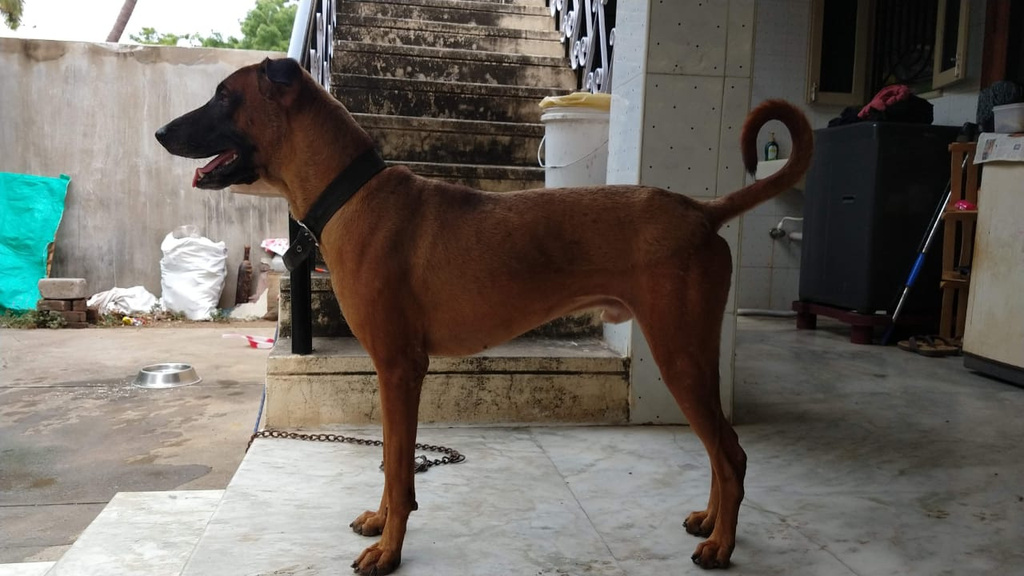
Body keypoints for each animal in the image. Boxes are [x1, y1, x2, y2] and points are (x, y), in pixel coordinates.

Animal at [156, 57, 812, 574]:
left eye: (224, 95)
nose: (161, 131)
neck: (353, 195)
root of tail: (703, 211)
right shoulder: (393, 374)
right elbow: (393, 465)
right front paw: (382, 522)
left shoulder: (400, 368)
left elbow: (399, 467)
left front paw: (390, 552)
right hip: (690, 354)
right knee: (719, 449)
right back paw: (710, 522)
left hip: (679, 356)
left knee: (731, 453)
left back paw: (723, 545)